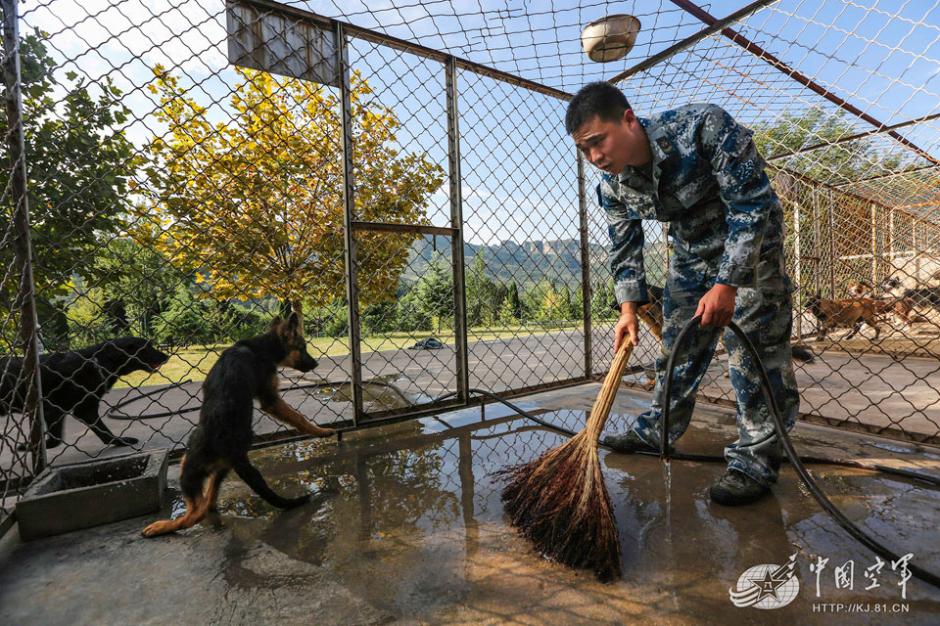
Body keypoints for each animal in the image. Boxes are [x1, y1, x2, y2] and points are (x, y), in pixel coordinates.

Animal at [0, 336, 169, 448]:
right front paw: (29, 447)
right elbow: (55, 441)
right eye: (148, 347)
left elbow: (104, 432)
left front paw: (120, 442)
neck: (97, 362)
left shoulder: (87, 409)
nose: (167, 356)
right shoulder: (52, 410)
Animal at [141, 312, 336, 536]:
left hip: (189, 463)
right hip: (218, 466)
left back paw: (163, 526)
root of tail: (233, 450)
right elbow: (297, 416)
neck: (262, 347)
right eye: (302, 348)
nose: (315, 365)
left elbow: (298, 417)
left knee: (197, 512)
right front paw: (321, 430)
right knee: (207, 501)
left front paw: (319, 430)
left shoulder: (270, 399)